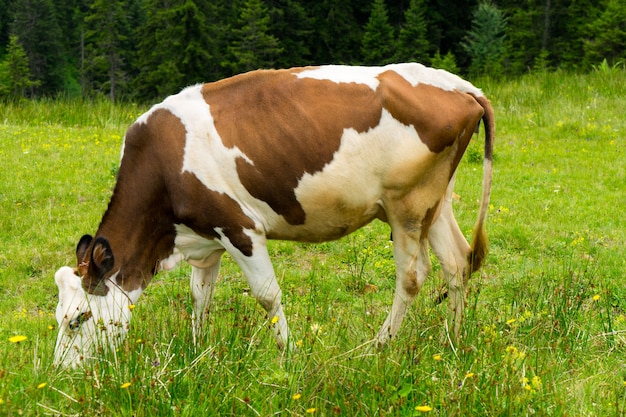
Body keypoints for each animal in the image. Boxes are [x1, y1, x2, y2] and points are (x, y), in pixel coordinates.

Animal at [52, 62, 492, 368]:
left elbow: (267, 295)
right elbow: (200, 296)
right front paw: (198, 351)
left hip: (408, 205)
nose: (61, 372)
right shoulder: (206, 239)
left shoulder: (240, 228)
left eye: (79, 319)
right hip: (437, 203)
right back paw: (452, 341)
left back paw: (379, 345)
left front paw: (289, 356)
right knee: (457, 263)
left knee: (413, 276)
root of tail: (462, 86)